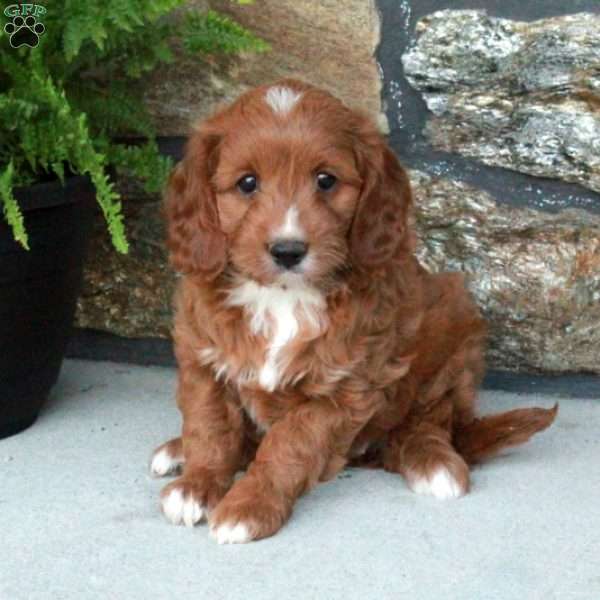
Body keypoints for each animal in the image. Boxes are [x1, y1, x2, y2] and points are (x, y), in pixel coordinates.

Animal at [151, 79, 556, 544]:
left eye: (326, 180)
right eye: (247, 183)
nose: (288, 251)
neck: (282, 298)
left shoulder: (344, 389)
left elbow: (289, 445)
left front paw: (249, 506)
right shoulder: (202, 358)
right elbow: (210, 427)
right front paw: (197, 486)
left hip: (454, 331)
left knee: (430, 421)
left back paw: (435, 463)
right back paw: (176, 450)